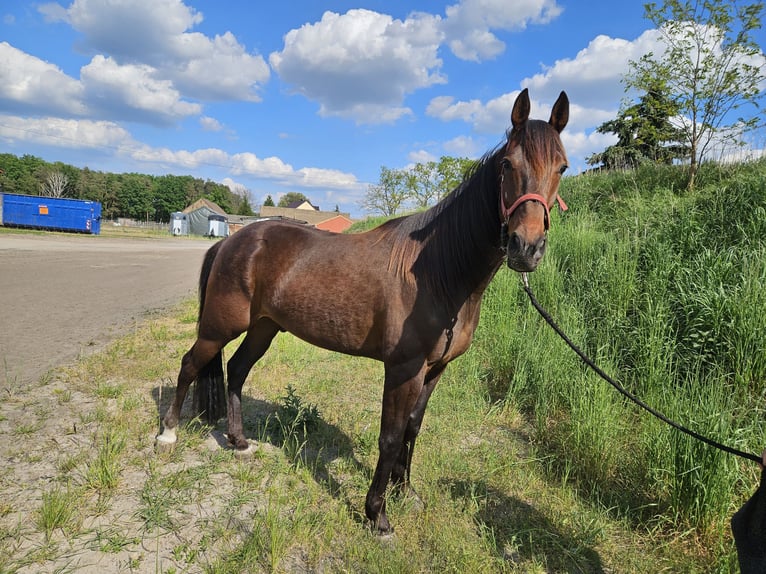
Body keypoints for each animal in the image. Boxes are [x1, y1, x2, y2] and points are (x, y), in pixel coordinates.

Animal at [158, 90, 568, 536]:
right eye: (508, 164)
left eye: (562, 167)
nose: (526, 248)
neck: (438, 273)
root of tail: (232, 240)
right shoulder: (403, 368)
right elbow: (390, 435)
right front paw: (378, 515)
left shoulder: (435, 369)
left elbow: (412, 428)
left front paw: (407, 493)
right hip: (220, 326)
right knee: (190, 364)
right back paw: (169, 434)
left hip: (264, 328)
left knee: (236, 370)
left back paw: (239, 441)